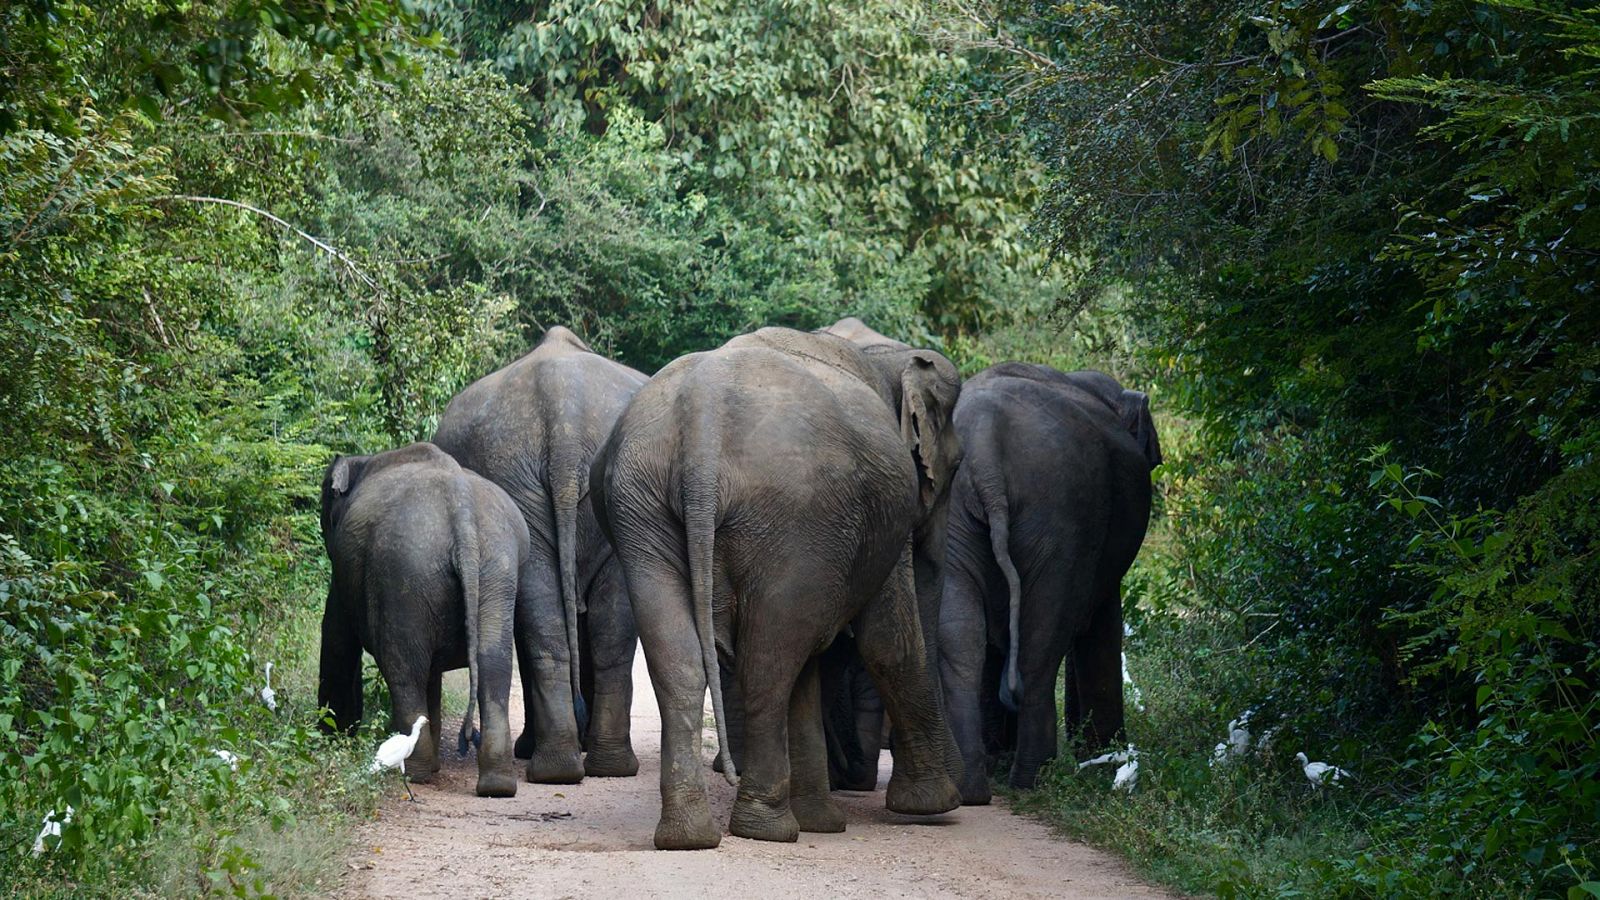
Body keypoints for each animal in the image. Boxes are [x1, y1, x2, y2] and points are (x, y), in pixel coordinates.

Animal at [315, 438, 585, 791]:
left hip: (404, 569)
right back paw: (498, 785)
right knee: (492, 663)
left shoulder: (342, 573)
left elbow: (336, 637)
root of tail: (462, 514)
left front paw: (326, 738)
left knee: (404, 668)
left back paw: (416, 774)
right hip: (495, 566)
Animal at [592, 325, 953, 845]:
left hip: (640, 506)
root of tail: (701, 420)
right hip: (794, 515)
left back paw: (689, 837)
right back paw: (767, 829)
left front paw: (824, 823)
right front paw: (933, 806)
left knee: (684, 661)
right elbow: (888, 638)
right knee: (768, 663)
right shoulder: (883, 524)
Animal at [934, 360, 1164, 800]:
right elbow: (1101, 625)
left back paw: (973, 785)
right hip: (1061, 517)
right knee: (1041, 643)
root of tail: (986, 450)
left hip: (957, 516)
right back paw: (1032, 775)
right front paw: (1104, 758)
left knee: (961, 641)